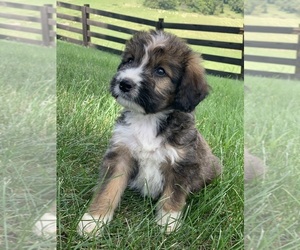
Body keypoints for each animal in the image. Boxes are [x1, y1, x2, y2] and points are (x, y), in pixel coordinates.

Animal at [77, 30, 223, 235]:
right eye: (130, 60)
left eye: (160, 71)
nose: (124, 83)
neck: (148, 119)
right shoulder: (121, 154)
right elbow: (108, 188)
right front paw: (94, 220)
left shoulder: (181, 163)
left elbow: (173, 195)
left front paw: (168, 222)